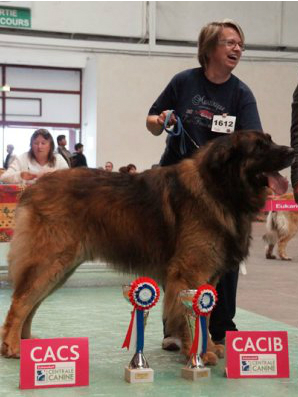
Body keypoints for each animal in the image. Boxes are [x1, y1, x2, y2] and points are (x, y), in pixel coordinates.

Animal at [0, 131, 294, 362]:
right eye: (259, 146)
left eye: (270, 140)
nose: (292, 151)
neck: (220, 187)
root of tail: (33, 186)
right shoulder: (190, 272)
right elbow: (194, 316)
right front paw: (199, 352)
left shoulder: (207, 277)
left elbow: (206, 316)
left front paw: (208, 348)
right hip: (51, 261)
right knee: (21, 302)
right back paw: (13, 346)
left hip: (60, 268)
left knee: (30, 302)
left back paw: (26, 343)